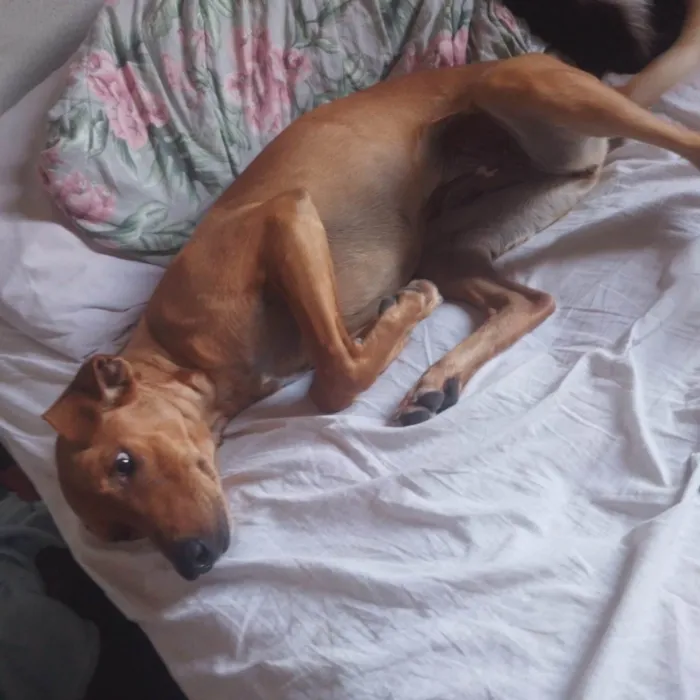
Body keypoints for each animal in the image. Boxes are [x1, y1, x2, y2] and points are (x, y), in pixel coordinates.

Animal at [43, 1, 700, 581]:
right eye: (120, 533)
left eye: (123, 463)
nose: (192, 563)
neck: (187, 359)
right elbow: (340, 360)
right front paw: (395, 321)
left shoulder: (288, 219)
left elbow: (337, 376)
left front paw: (404, 310)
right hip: (458, 235)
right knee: (527, 301)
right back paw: (438, 380)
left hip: (518, 87)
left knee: (682, 141)